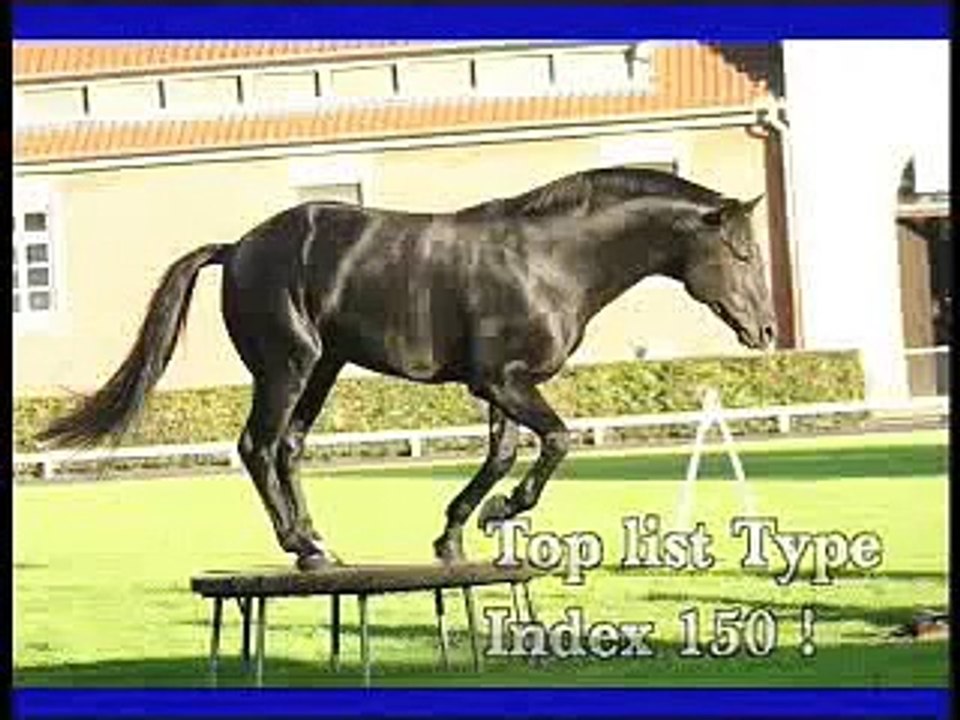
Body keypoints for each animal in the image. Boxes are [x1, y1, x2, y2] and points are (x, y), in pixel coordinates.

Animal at [39, 166, 776, 570]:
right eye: (741, 254)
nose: (766, 331)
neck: (552, 260)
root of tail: (239, 246)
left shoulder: (501, 386)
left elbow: (503, 454)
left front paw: (456, 533)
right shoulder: (503, 381)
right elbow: (556, 442)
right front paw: (497, 515)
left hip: (323, 369)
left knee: (289, 448)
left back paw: (320, 543)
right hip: (286, 365)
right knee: (257, 446)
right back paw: (301, 546)